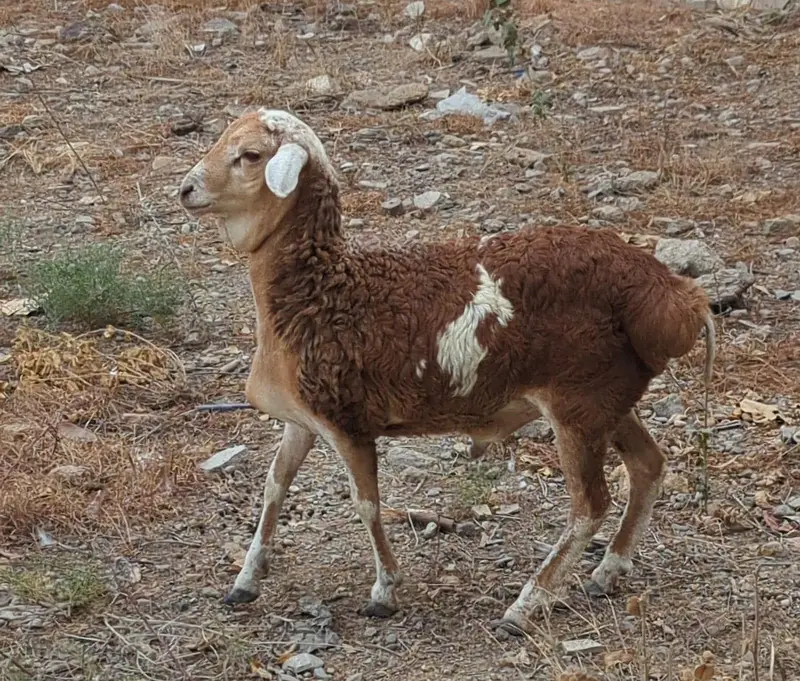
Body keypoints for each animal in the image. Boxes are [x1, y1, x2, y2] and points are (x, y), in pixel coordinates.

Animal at [177, 108, 716, 635]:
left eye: (250, 156)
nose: (185, 189)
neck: (319, 292)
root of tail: (670, 295)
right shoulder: (303, 419)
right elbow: (275, 486)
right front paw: (246, 580)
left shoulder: (347, 421)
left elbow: (366, 503)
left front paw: (385, 591)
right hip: (609, 397)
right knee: (647, 465)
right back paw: (608, 571)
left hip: (578, 404)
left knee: (591, 505)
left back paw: (526, 605)